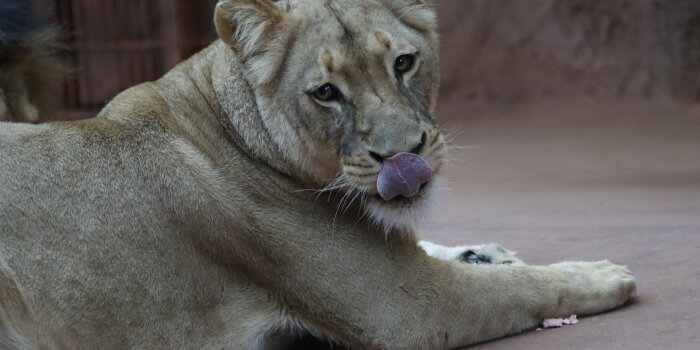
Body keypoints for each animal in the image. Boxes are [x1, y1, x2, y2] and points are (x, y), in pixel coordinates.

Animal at [0, 1, 636, 348]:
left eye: (404, 63)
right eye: (326, 93)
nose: (403, 157)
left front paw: (483, 253)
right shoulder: (406, 310)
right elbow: (524, 288)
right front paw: (601, 274)